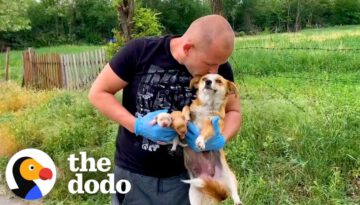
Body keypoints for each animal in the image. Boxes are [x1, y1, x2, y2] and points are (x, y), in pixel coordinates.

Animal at [181, 73, 243, 205]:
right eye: (204, 78)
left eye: (218, 81)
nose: (208, 82)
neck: (207, 106)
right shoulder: (192, 111)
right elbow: (186, 107)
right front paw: (184, 116)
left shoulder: (213, 124)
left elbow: (205, 131)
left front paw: (200, 140)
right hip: (194, 193)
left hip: (231, 177)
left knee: (234, 193)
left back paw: (237, 201)